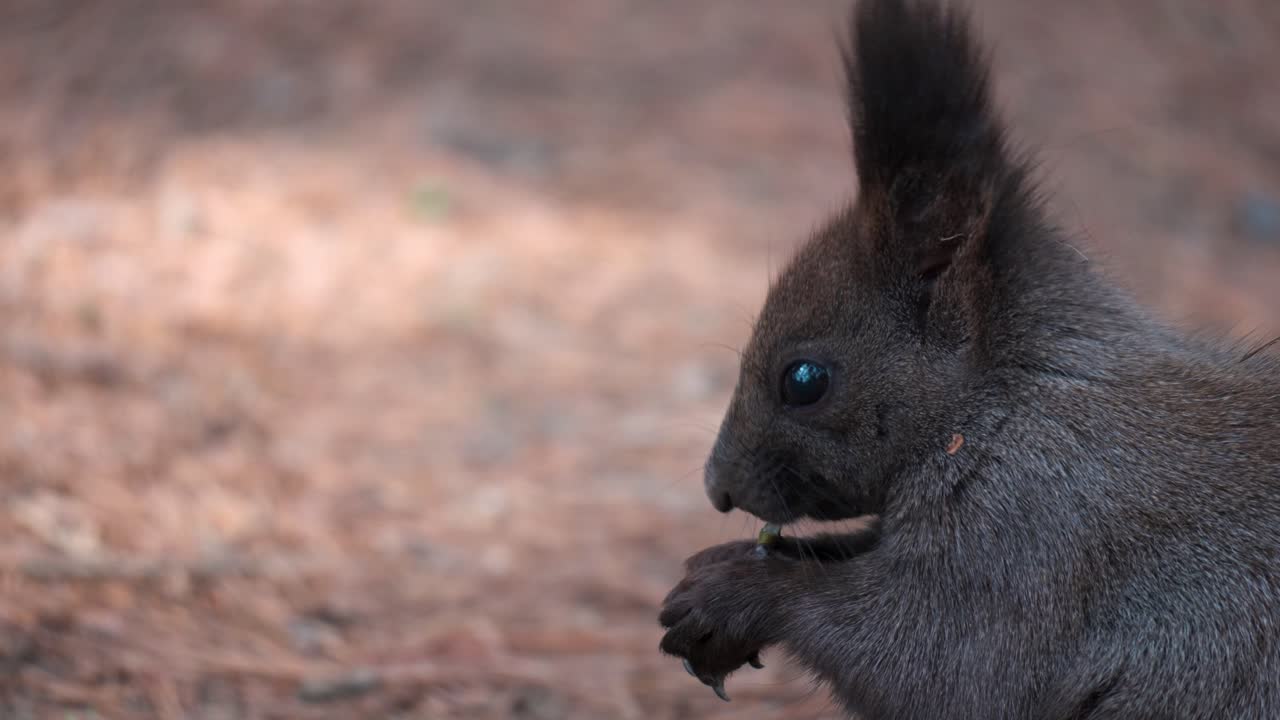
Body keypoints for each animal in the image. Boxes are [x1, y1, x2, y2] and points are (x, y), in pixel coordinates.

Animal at [658, 1, 1280, 718]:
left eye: (804, 380)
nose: (718, 490)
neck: (1004, 403)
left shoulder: (1035, 533)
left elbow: (931, 666)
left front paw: (732, 592)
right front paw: (721, 564)